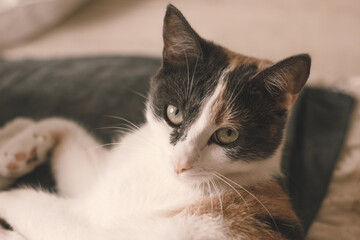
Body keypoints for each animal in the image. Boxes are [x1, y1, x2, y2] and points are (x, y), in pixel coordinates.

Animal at [0, 4, 310, 240]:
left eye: (228, 135)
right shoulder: (98, 182)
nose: (180, 163)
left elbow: (28, 202)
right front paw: (18, 147)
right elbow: (64, 130)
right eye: (174, 113)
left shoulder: (89, 222)